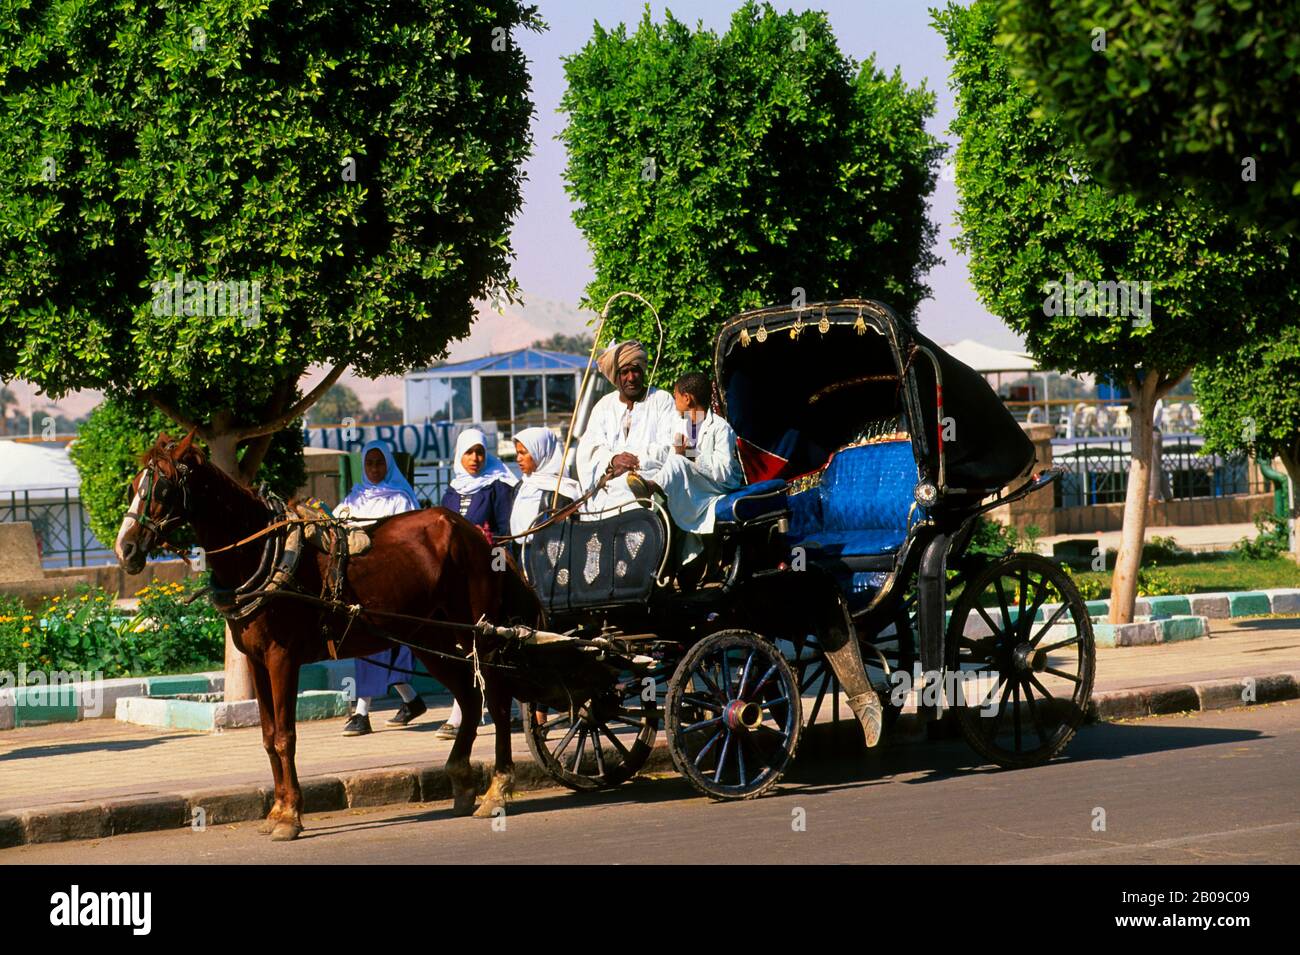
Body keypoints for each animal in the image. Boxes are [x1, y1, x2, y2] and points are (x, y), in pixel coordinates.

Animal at [114, 432, 542, 840]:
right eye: (135, 484)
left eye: (162, 488)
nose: (125, 548)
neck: (263, 552)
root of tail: (480, 537)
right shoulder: (254, 660)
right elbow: (267, 735)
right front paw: (276, 811)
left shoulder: (281, 658)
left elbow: (285, 735)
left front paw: (290, 816)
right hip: (433, 641)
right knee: (470, 699)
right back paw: (462, 780)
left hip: (478, 637)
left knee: (497, 700)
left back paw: (497, 789)